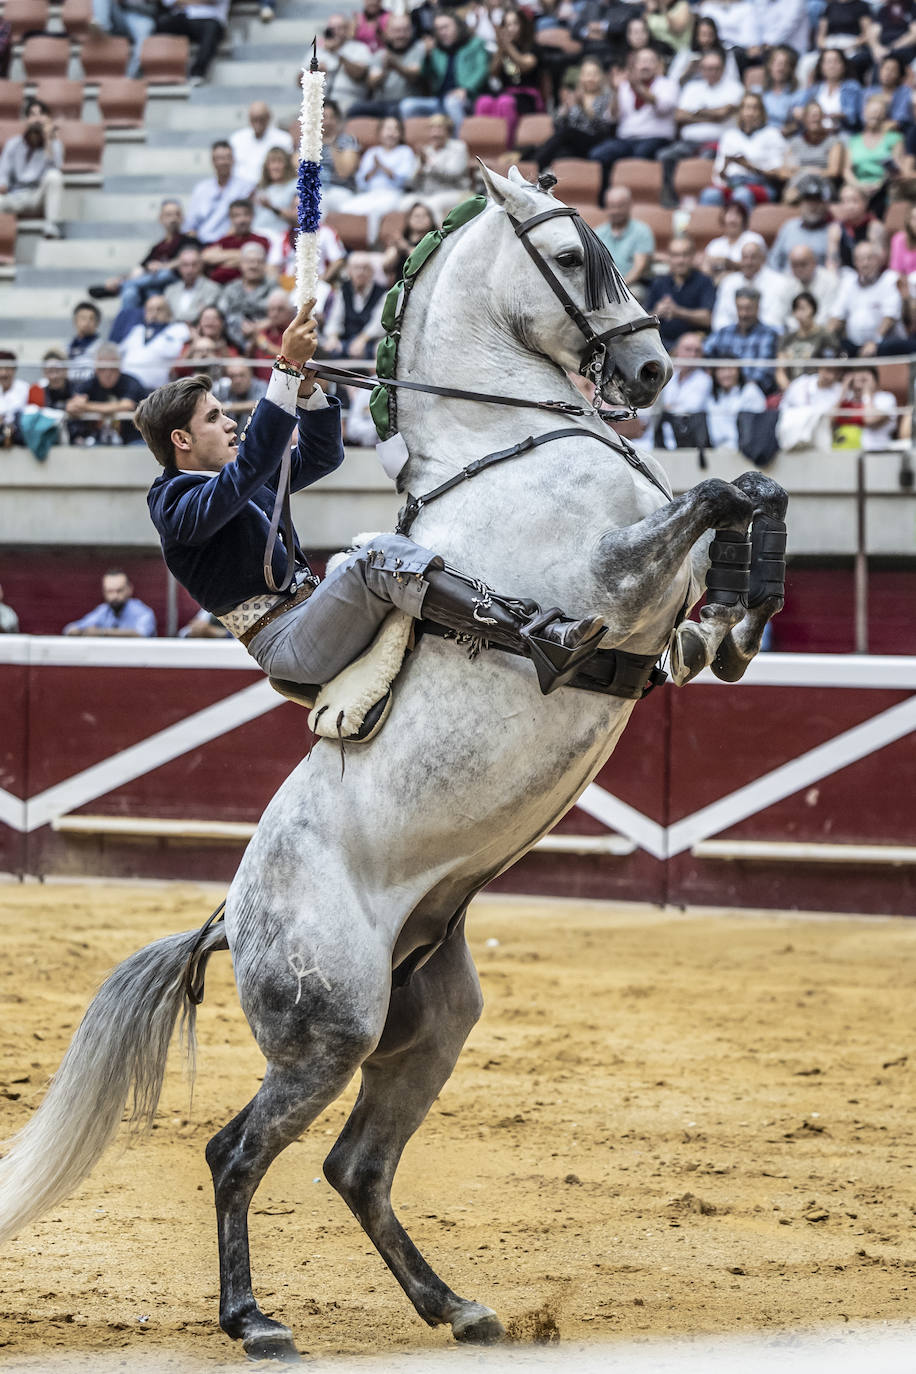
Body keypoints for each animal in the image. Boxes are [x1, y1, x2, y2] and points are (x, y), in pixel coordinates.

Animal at [0, 169, 785, 1363]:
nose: (652, 370)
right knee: (238, 1153)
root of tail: (229, 918)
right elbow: (716, 494)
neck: (504, 441)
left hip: (427, 1026)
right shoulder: (617, 570)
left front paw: (739, 619)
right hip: (328, 1032)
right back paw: (253, 1320)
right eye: (571, 252)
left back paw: (454, 1306)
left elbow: (741, 504)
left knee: (354, 1166)